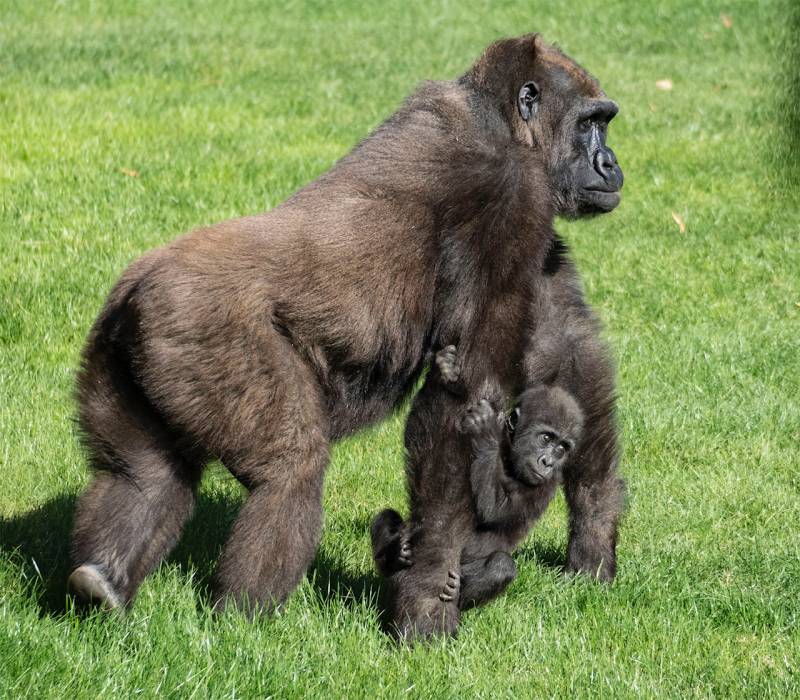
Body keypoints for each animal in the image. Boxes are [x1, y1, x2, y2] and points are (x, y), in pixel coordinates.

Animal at [372, 348, 584, 608]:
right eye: (546, 438)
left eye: (562, 448)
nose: (548, 462)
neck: (509, 455)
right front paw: (446, 371)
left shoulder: (549, 483)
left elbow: (495, 512)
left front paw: (486, 433)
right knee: (387, 516)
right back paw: (393, 556)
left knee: (501, 565)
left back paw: (460, 590)